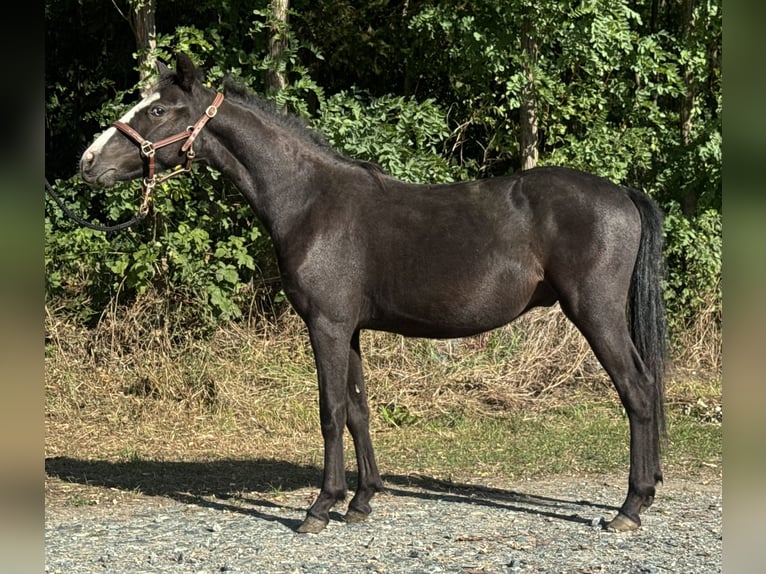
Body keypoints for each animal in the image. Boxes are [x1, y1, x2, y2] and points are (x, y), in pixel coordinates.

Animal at [80, 53, 667, 534]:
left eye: (159, 110)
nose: (87, 163)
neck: (310, 201)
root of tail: (621, 193)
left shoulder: (327, 325)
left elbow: (330, 409)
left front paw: (321, 506)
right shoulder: (351, 328)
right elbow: (359, 409)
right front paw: (361, 501)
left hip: (596, 313)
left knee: (637, 391)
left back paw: (630, 507)